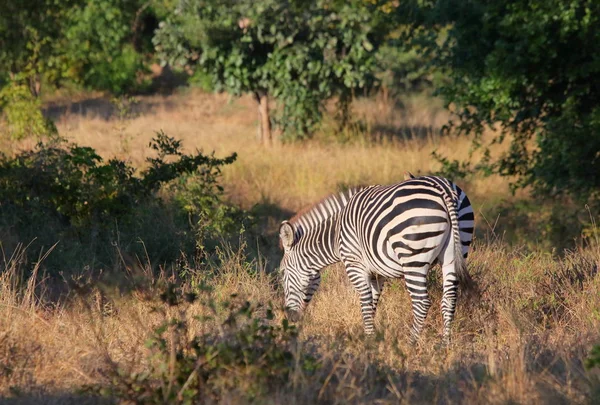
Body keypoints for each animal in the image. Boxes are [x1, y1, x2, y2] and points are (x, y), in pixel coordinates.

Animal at [278, 172, 476, 342]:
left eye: (282, 274)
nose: (289, 317)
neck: (335, 234)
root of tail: (444, 189)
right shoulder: (377, 272)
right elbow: (372, 303)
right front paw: (371, 336)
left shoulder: (355, 264)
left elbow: (365, 301)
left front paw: (369, 341)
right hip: (455, 252)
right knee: (449, 299)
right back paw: (445, 344)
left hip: (413, 258)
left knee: (421, 303)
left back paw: (410, 343)